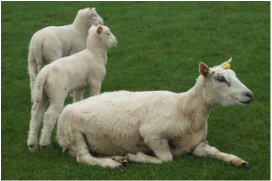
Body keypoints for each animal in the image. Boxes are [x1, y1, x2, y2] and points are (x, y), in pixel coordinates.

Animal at [26, 24, 118, 152]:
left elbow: (78, 100)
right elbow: (95, 96)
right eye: (108, 33)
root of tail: (44, 74)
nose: (116, 40)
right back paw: (44, 143)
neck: (95, 54)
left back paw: (32, 145)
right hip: (57, 93)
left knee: (36, 115)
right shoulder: (95, 81)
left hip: (41, 93)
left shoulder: (79, 87)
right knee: (49, 115)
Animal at [56, 58, 254, 170]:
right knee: (84, 157)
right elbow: (167, 159)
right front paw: (137, 156)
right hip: (74, 134)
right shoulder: (152, 134)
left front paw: (237, 160)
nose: (250, 95)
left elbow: (215, 152)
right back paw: (112, 164)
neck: (186, 109)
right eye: (221, 79)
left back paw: (117, 157)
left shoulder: (197, 143)